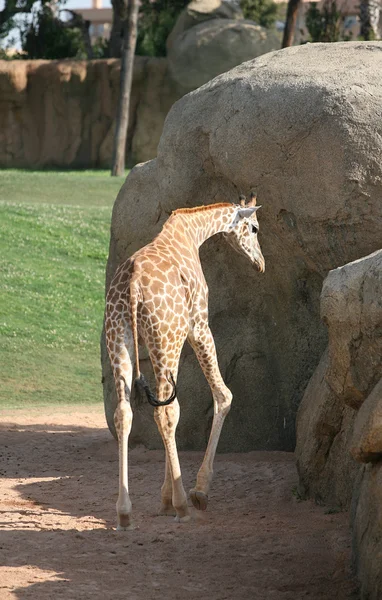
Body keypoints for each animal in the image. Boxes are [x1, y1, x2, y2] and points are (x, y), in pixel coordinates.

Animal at [104, 192, 266, 528]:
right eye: (255, 228)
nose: (261, 263)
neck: (190, 232)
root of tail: (132, 287)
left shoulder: (174, 340)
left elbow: (174, 411)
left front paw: (164, 498)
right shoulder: (197, 325)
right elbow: (223, 395)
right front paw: (197, 492)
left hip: (121, 340)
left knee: (125, 412)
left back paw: (124, 512)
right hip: (163, 339)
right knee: (164, 411)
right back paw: (182, 505)